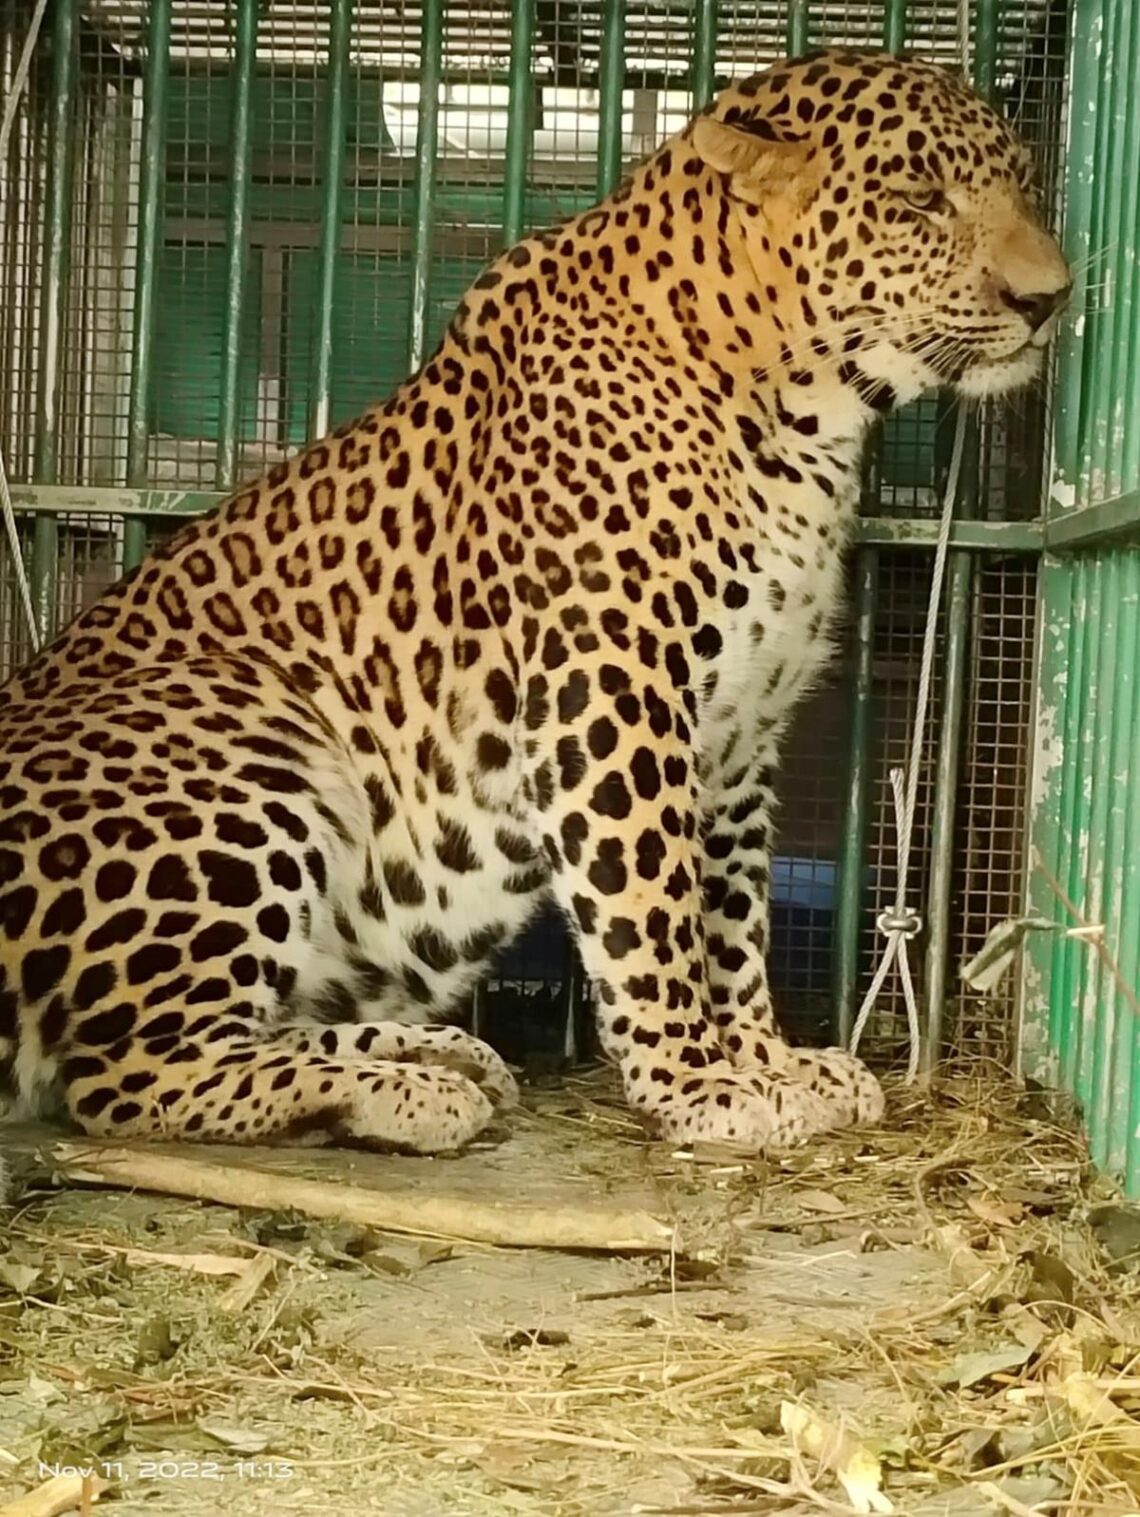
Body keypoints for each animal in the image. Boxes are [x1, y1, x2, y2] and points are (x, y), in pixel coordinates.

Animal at [0, 49, 1069, 1162]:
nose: (1053, 298)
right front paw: (700, 1084)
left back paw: (436, 1054)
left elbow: (732, 913)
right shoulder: (612, 689)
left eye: (1022, 184)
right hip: (245, 739)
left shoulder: (738, 734)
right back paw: (403, 1093)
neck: (808, 413)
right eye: (919, 200)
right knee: (124, 1070)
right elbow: (654, 905)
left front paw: (768, 1058)